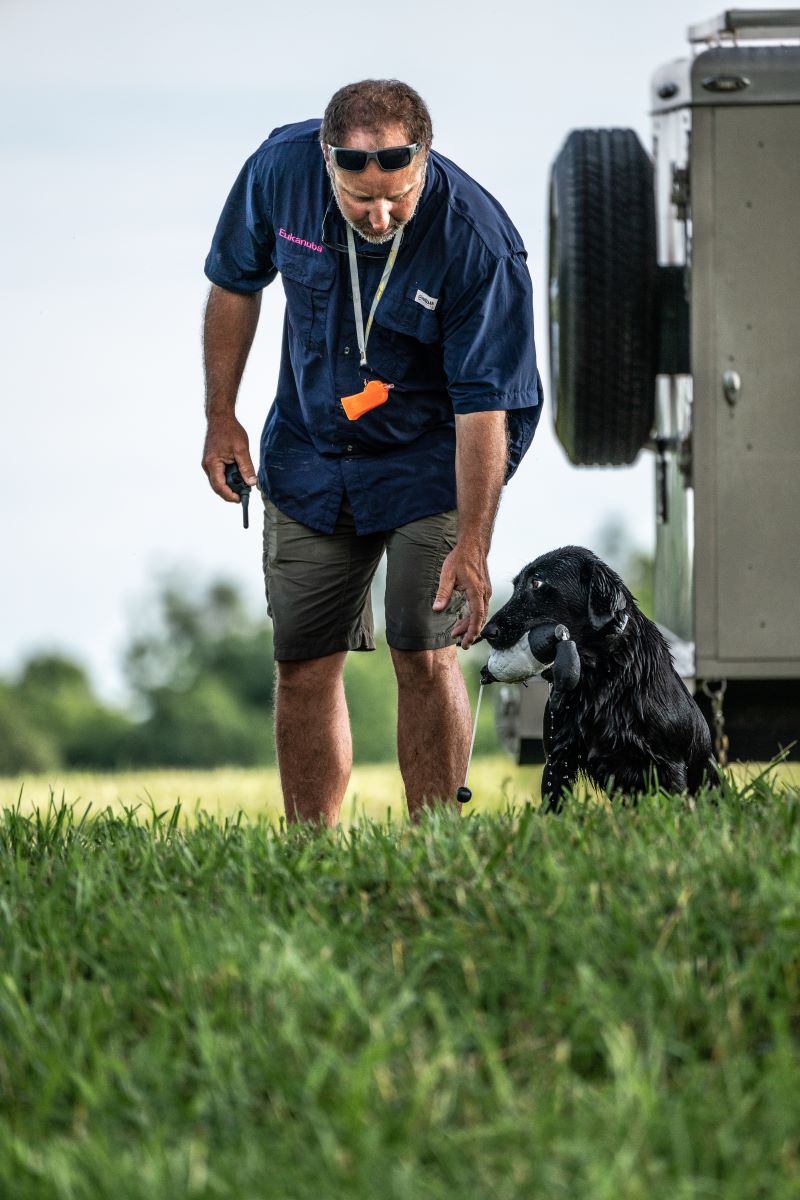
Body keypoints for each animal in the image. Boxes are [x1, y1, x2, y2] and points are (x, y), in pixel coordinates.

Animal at [479, 547, 714, 811]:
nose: (486, 632)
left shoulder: (671, 765)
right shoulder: (558, 758)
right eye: (515, 586)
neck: (600, 680)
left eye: (536, 583)